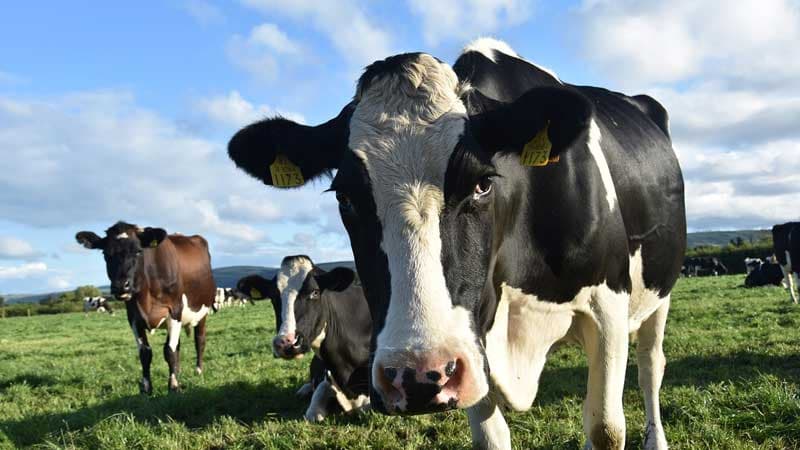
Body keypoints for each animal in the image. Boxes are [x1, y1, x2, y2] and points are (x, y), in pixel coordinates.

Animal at [76, 221, 216, 394]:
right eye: (105, 254)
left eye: (138, 251)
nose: (120, 286)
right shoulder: (134, 318)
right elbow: (145, 353)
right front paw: (147, 387)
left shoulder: (175, 311)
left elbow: (169, 350)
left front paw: (173, 385)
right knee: (178, 345)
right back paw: (179, 370)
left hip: (202, 312)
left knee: (199, 340)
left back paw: (198, 370)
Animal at [227, 38, 686, 449]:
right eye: (345, 196)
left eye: (482, 183)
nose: (415, 376)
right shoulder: (471, 340)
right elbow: (491, 438)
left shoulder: (608, 303)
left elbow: (606, 428)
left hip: (658, 294)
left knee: (650, 367)